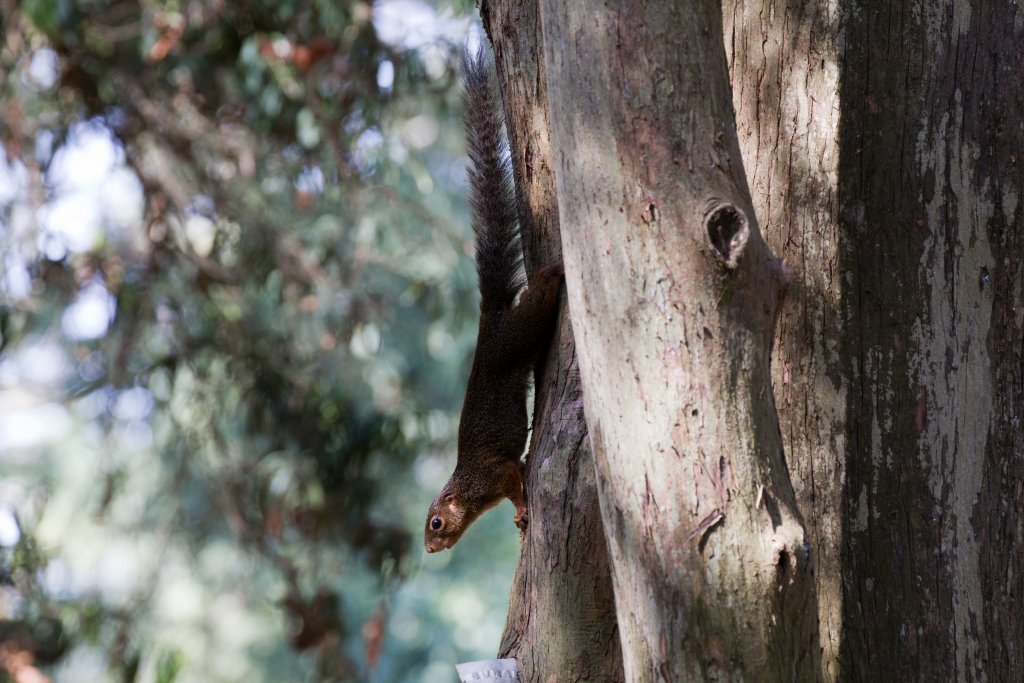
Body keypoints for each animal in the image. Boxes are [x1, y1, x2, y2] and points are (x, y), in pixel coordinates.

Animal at [423, 48, 563, 553]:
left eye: (435, 522)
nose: (429, 549)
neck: (467, 490)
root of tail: (490, 318)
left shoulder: (493, 472)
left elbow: (513, 477)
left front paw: (522, 510)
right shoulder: (504, 471)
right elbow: (520, 468)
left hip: (521, 333)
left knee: (541, 295)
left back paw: (555, 270)